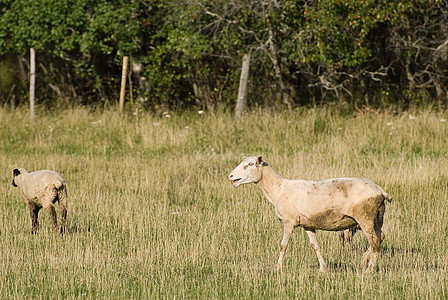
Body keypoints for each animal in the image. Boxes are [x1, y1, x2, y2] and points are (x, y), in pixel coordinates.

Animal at [229, 158, 390, 274]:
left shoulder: (289, 221)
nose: (230, 176)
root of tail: (380, 191)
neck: (278, 189)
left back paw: (369, 269)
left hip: (364, 216)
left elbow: (283, 245)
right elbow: (315, 246)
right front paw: (323, 268)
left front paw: (277, 268)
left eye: (250, 164)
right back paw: (364, 262)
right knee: (380, 236)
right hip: (376, 217)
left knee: (374, 241)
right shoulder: (307, 224)